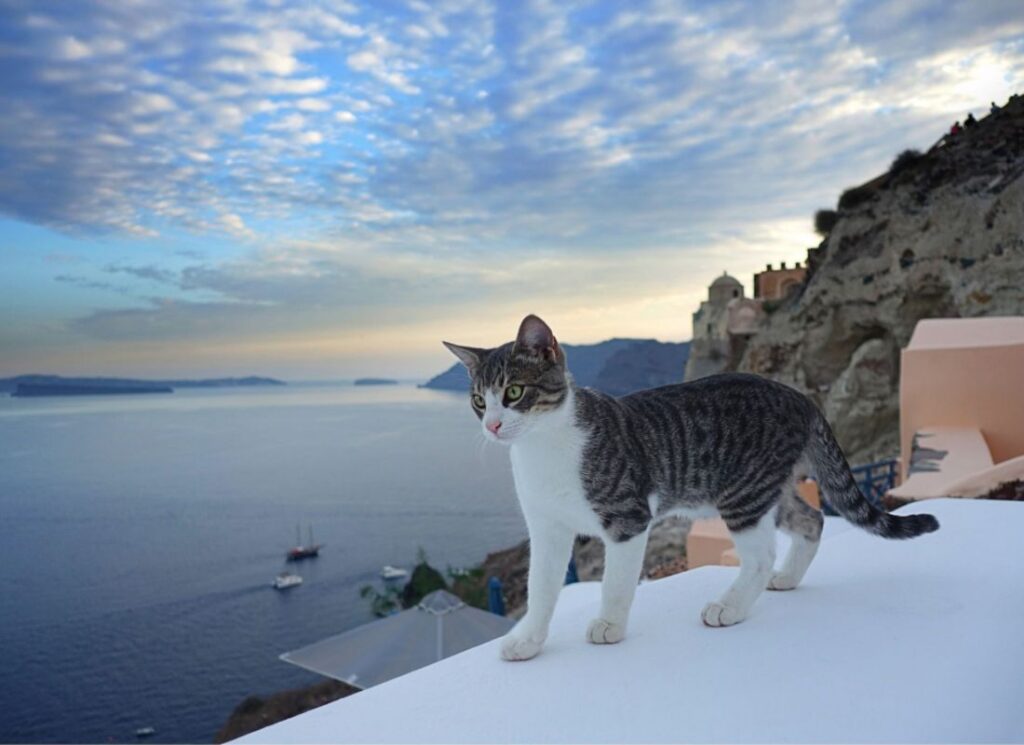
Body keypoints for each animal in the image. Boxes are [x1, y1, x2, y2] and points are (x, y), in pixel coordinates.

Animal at [444, 311, 937, 659]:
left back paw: (731, 606)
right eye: (478, 400)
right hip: (767, 489)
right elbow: (542, 588)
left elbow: (615, 582)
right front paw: (529, 640)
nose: (492, 425)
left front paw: (609, 625)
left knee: (761, 554)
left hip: (743, 491)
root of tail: (799, 396)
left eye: (514, 393)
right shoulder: (547, 528)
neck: (543, 448)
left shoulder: (628, 517)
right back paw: (787, 578)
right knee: (812, 518)